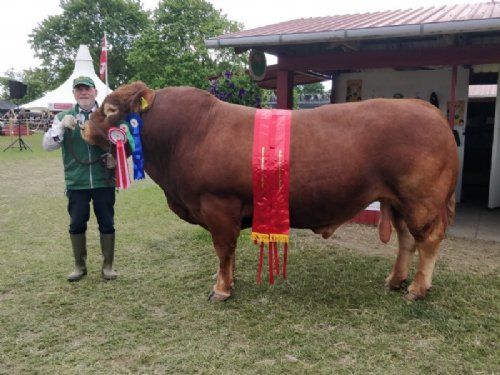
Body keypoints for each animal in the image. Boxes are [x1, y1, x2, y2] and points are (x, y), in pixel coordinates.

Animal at [81, 81, 458, 302]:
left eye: (111, 109)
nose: (83, 129)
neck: (188, 133)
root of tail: (428, 109)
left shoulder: (218, 205)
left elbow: (223, 248)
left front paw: (221, 289)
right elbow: (227, 253)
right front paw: (227, 280)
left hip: (421, 199)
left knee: (428, 240)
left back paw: (416, 289)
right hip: (399, 201)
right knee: (407, 239)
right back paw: (395, 280)